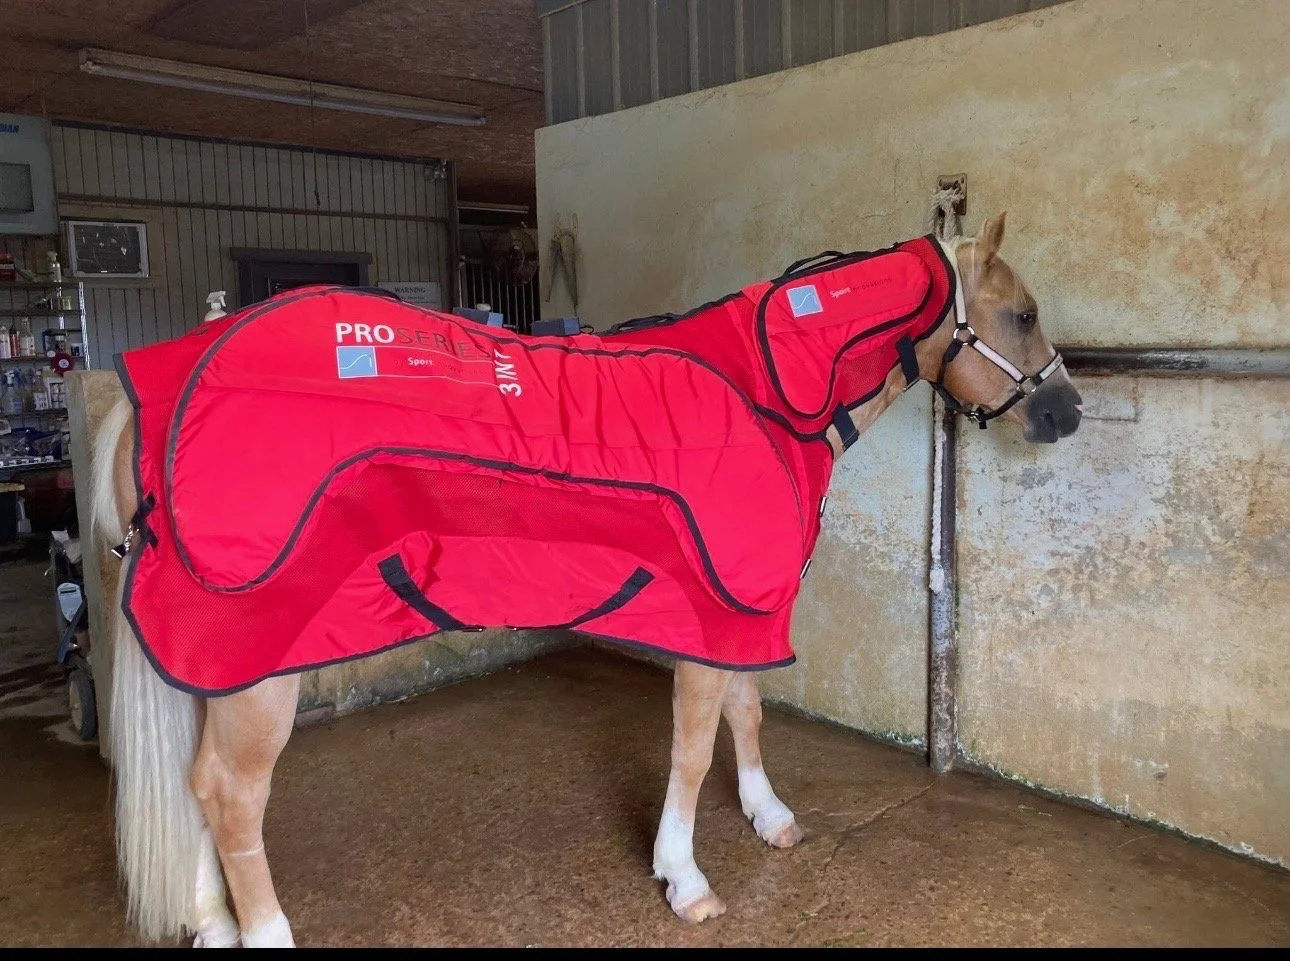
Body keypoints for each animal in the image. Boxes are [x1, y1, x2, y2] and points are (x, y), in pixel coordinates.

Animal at [90, 212, 1082, 947]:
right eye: (1024, 314)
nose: (1067, 412)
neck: (767, 393)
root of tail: (159, 387)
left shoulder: (740, 609)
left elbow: (746, 713)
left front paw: (768, 816)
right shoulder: (714, 611)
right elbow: (693, 745)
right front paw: (684, 877)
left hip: (216, 665)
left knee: (197, 787)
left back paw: (212, 923)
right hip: (260, 665)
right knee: (230, 796)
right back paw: (261, 932)